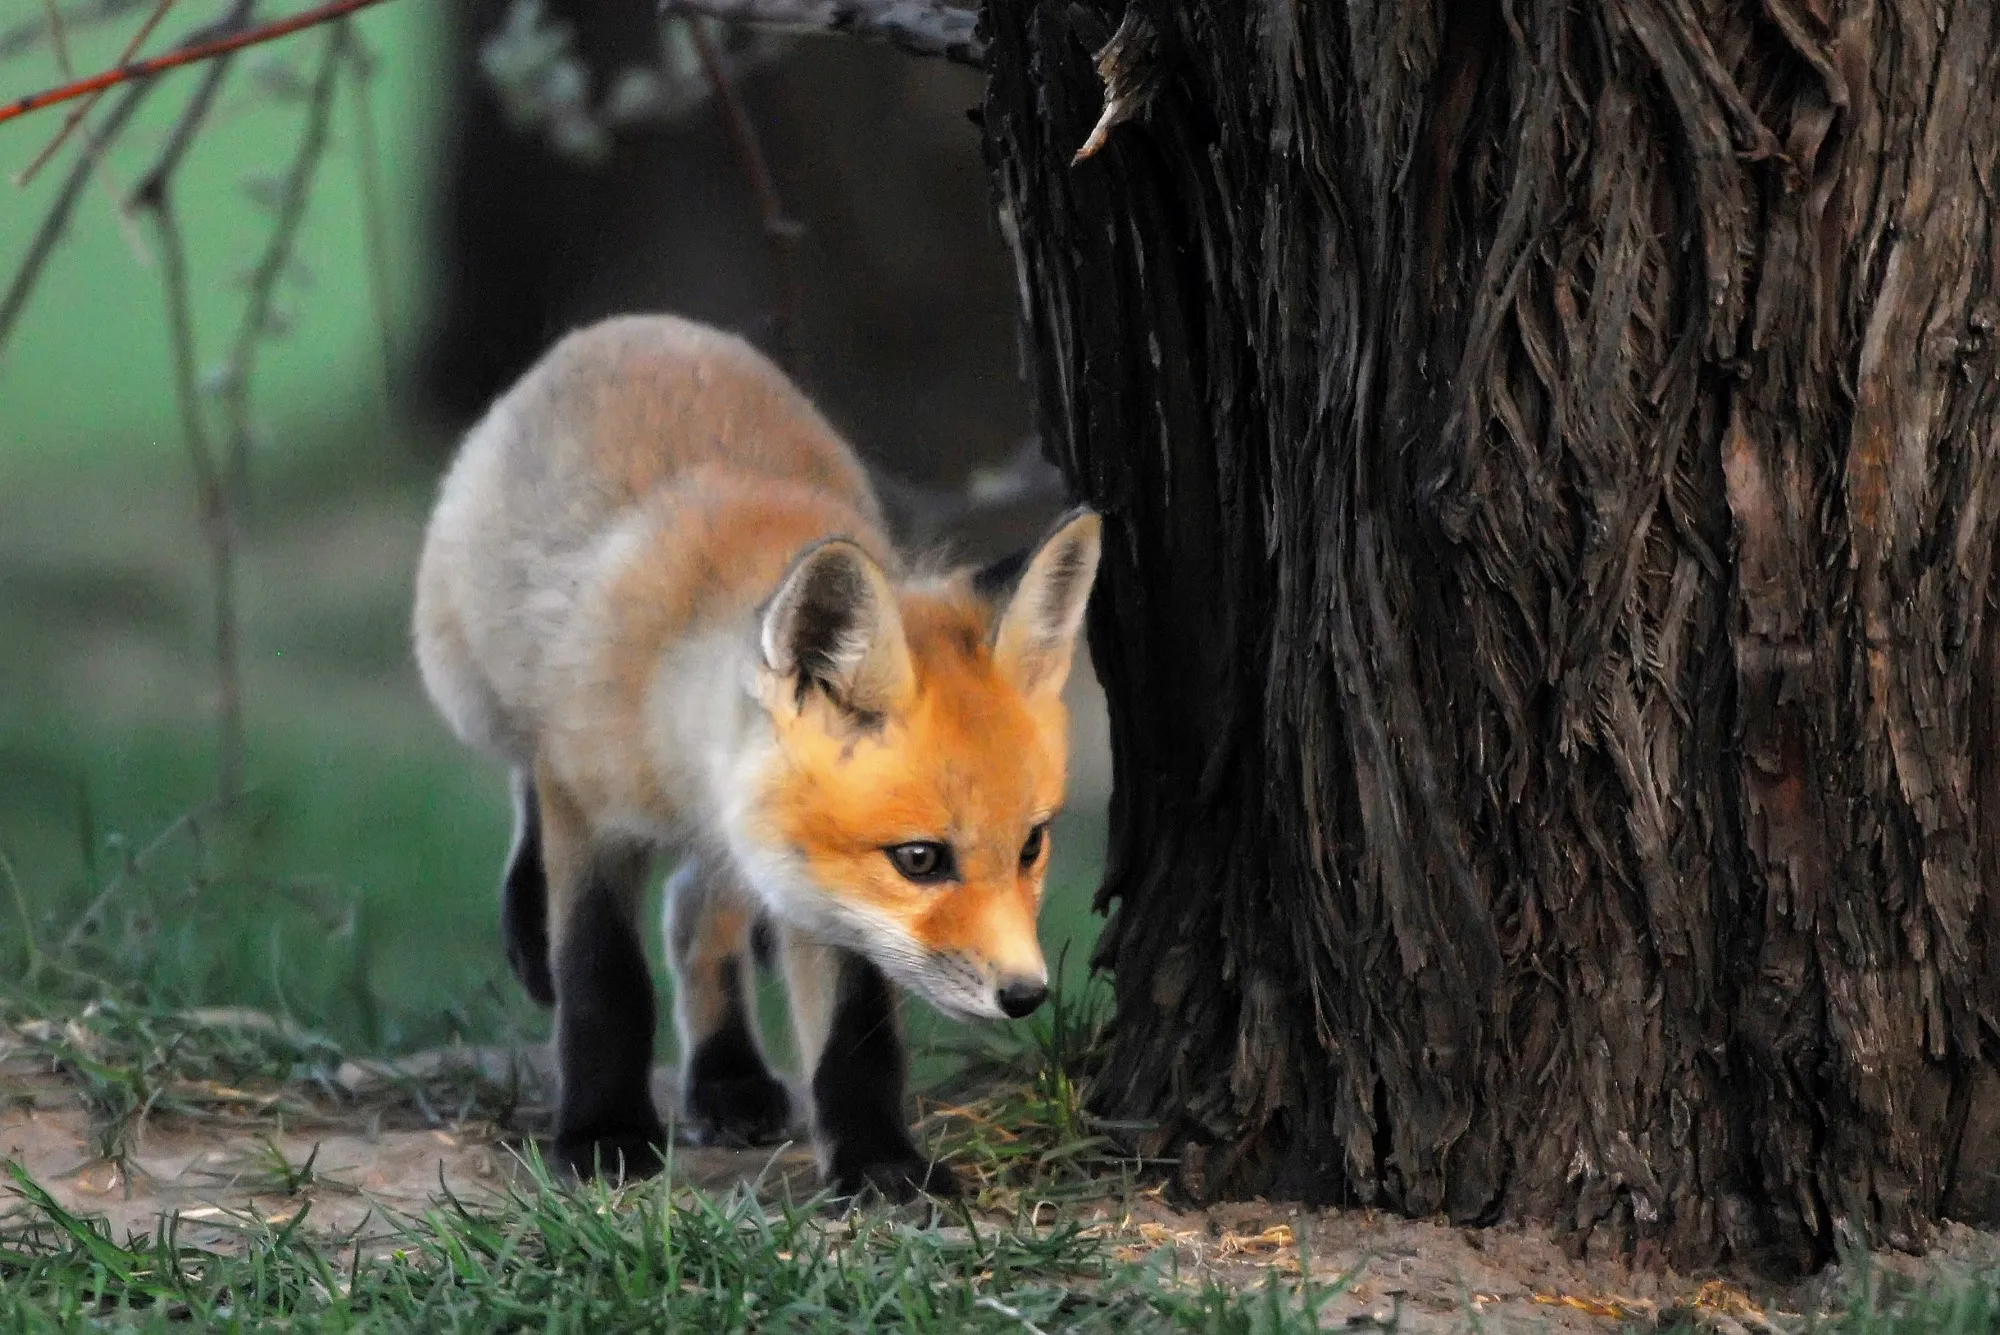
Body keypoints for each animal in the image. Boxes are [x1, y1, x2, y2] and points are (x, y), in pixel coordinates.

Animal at [411, 313, 1101, 1200]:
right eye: (921, 858)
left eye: (1032, 845)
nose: (1025, 994)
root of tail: (640, 323)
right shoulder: (590, 811)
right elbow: (604, 980)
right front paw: (604, 1132)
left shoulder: (824, 890)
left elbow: (854, 1033)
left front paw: (877, 1159)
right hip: (466, 683)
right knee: (525, 783)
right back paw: (531, 933)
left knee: (696, 919)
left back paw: (727, 1075)